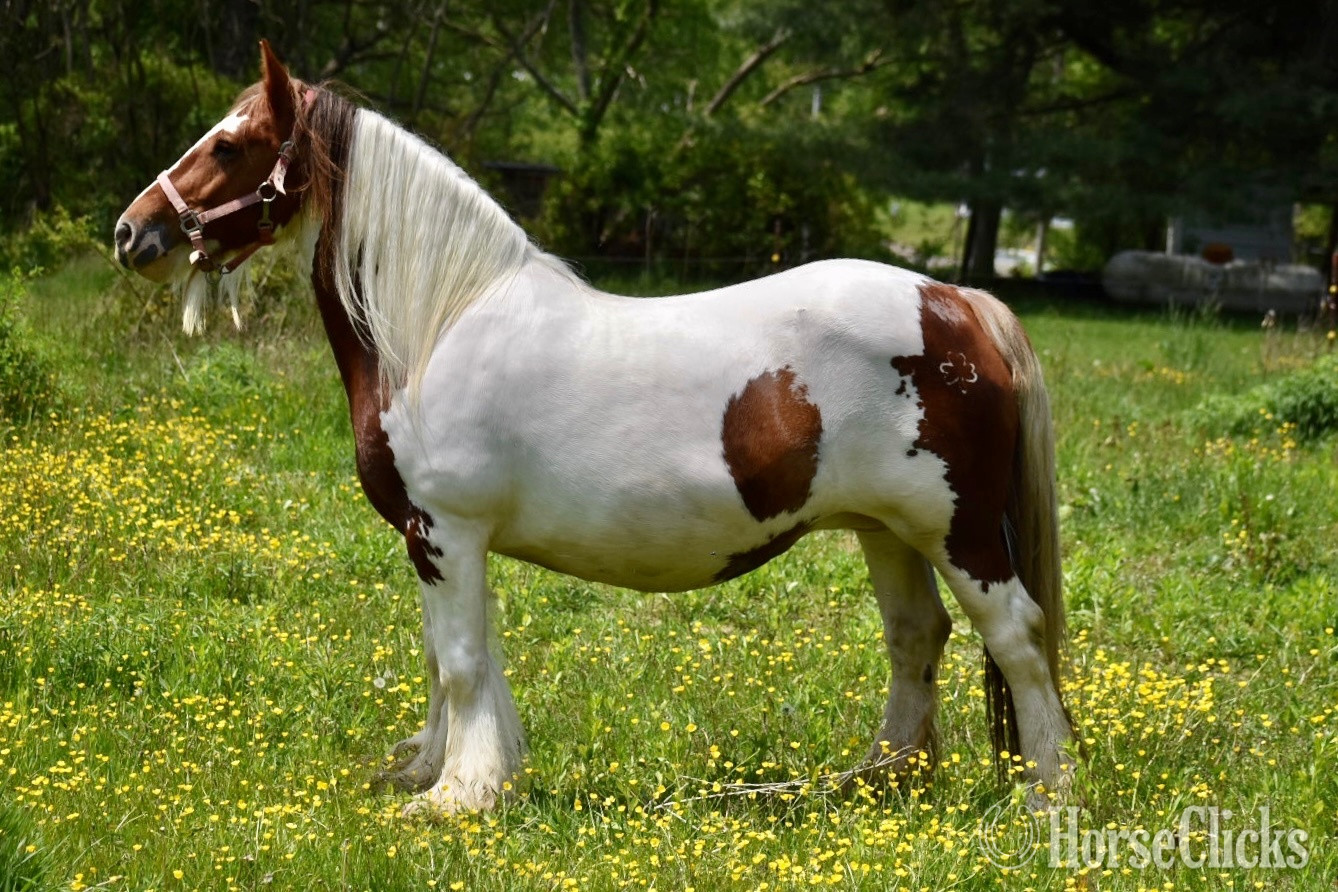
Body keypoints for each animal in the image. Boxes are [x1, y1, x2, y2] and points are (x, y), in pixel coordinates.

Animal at [114, 41, 1074, 814]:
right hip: (888, 530)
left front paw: (456, 798)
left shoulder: (446, 532)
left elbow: (460, 663)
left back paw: (1044, 801)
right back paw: (878, 782)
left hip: (959, 534)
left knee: (1019, 639)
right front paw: (433, 772)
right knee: (917, 639)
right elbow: (442, 662)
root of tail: (957, 301)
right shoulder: (432, 542)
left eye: (228, 145)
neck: (440, 325)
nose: (132, 232)